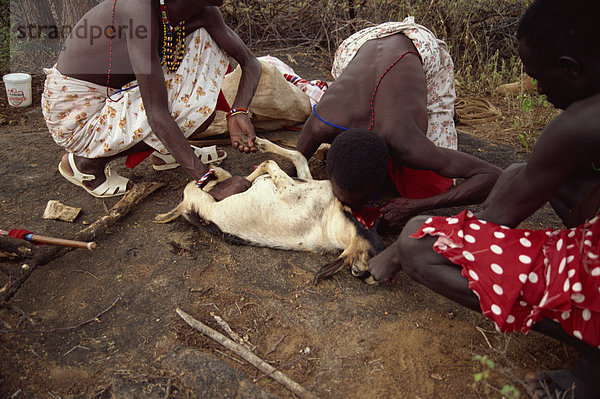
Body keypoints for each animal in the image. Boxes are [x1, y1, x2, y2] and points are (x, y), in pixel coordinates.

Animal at [155, 138, 384, 284]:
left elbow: (268, 163)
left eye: (357, 271)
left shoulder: (287, 188)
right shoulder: (302, 179)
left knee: (208, 180)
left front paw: (254, 165)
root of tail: (185, 209)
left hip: (194, 192)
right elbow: (298, 156)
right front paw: (260, 144)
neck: (330, 223)